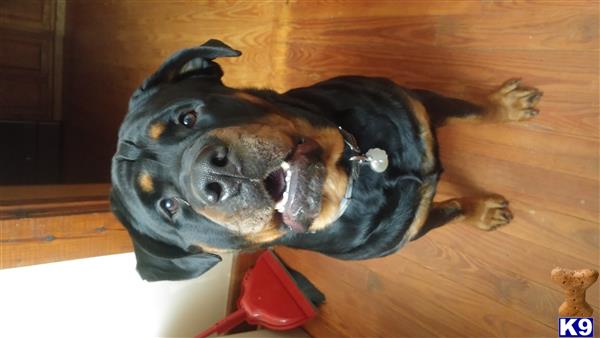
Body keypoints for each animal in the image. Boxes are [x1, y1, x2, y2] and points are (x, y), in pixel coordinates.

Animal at [109, 40, 544, 282]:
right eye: (169, 207)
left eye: (186, 117)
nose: (213, 176)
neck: (360, 172)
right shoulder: (413, 226)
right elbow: (451, 209)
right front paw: (481, 211)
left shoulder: (416, 106)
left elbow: (468, 109)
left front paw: (503, 106)